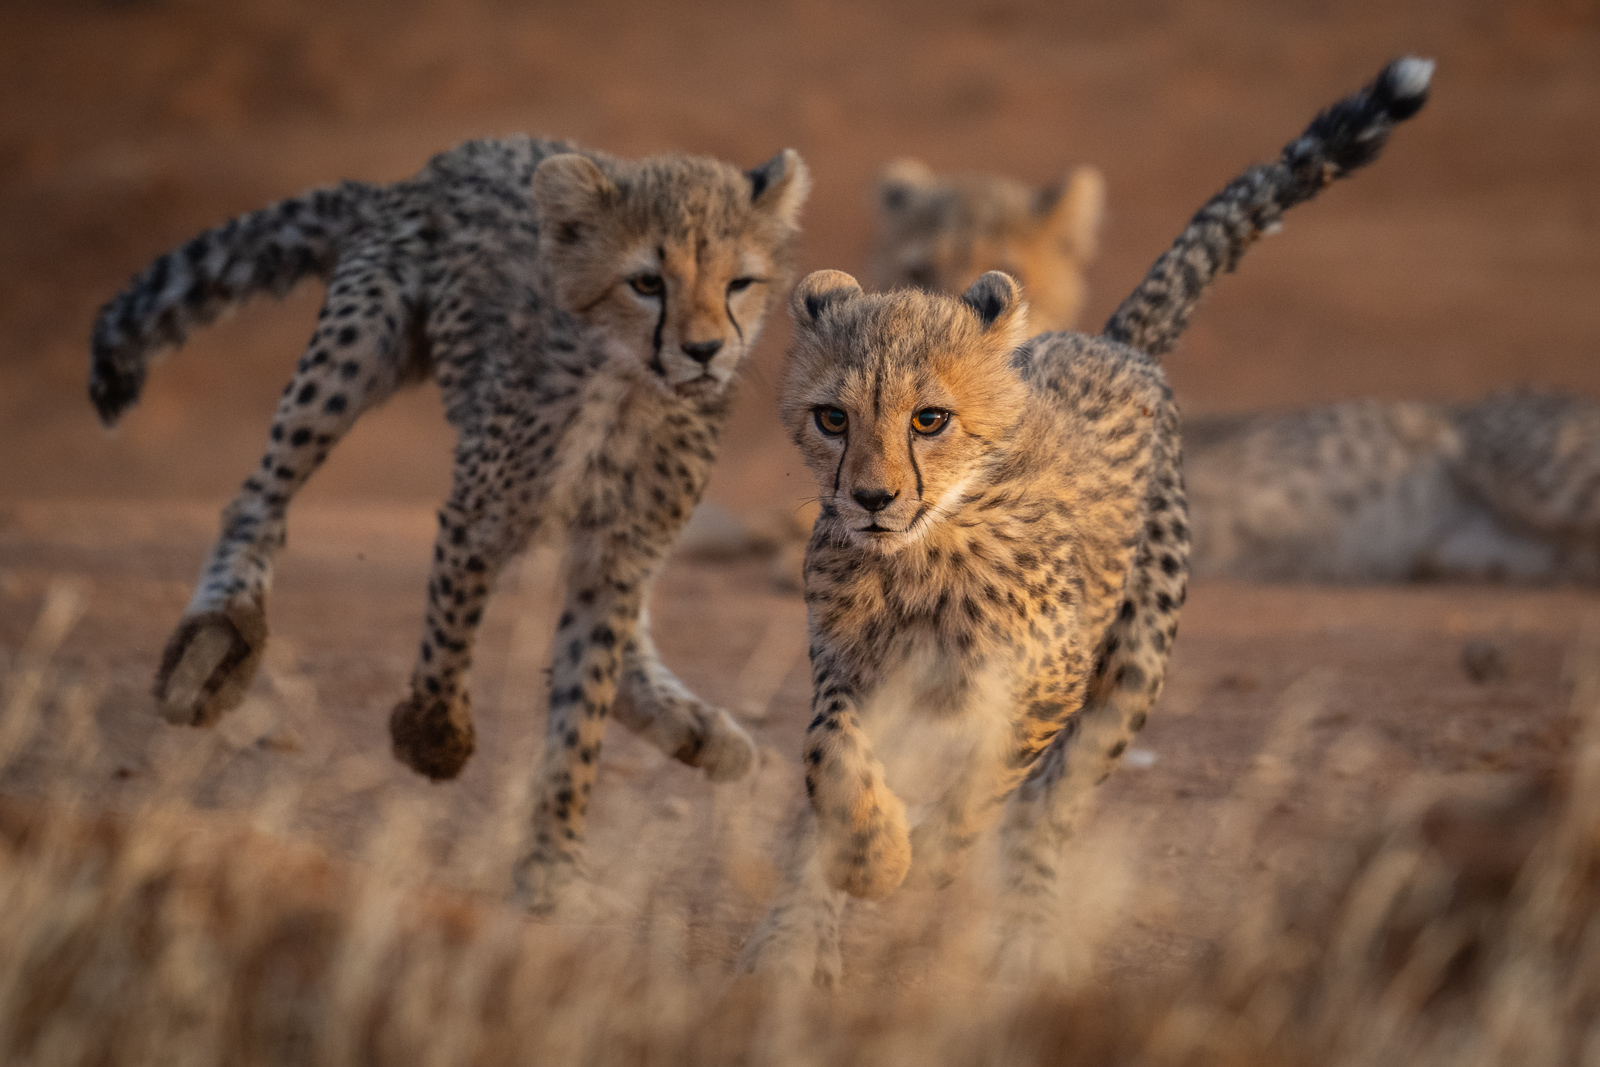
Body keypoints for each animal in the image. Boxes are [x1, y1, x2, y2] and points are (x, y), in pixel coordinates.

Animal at [89, 135, 810, 910]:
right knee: (257, 495)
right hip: (354, 350)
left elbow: (583, 703)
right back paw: (220, 630)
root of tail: (435, 166)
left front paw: (555, 857)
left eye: (739, 283)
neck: (629, 391)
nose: (705, 351)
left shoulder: (618, 554)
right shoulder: (480, 516)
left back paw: (695, 728)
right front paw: (434, 738)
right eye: (648, 282)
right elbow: (449, 633)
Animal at [739, 57, 1434, 985]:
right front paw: (870, 857)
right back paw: (790, 939)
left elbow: (986, 786)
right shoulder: (851, 668)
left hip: (1132, 667)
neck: (927, 550)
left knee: (1045, 810)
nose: (872, 499)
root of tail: (1111, 342)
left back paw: (1024, 939)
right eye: (832, 418)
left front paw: (927, 859)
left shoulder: (1046, 681)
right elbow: (831, 757)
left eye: (929, 419)